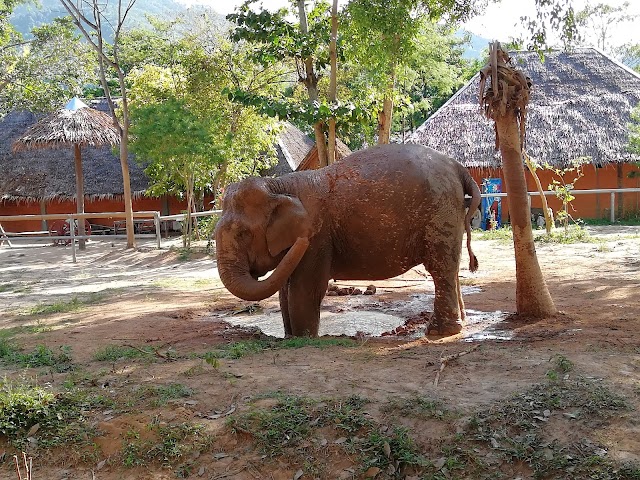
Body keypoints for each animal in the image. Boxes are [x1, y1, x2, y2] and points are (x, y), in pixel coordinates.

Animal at [215, 144, 480, 336]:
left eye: (243, 234)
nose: (302, 240)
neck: (278, 184)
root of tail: (458, 167)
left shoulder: (318, 238)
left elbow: (305, 288)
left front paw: (303, 338)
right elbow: (284, 288)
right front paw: (289, 336)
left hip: (440, 211)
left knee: (439, 268)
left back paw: (439, 332)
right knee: (450, 268)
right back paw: (459, 323)